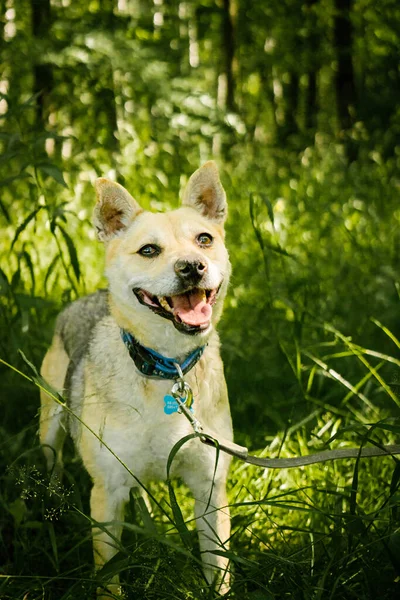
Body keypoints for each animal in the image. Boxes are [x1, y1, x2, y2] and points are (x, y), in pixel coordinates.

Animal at [39, 162, 233, 596]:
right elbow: (108, 575)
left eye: (204, 240)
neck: (166, 369)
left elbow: (219, 568)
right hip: (50, 429)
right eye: (149, 250)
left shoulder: (210, 490)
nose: (191, 266)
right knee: (53, 464)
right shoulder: (107, 495)